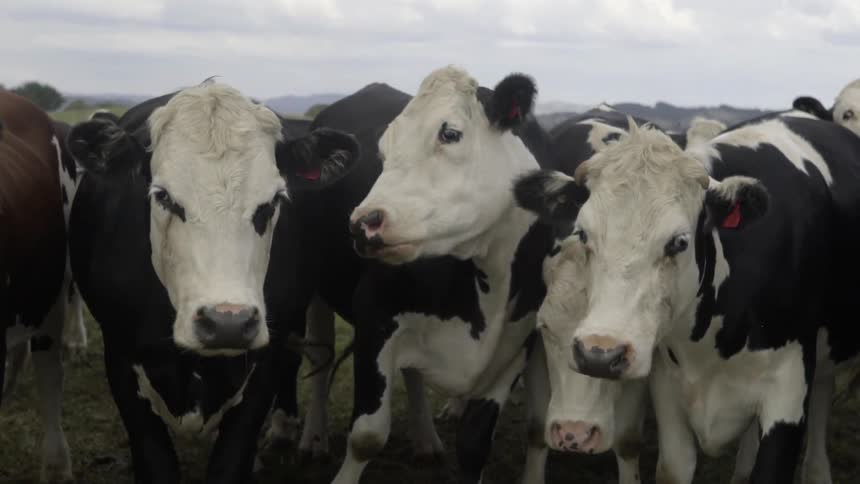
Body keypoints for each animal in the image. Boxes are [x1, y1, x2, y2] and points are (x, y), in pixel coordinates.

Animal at [65, 80, 359, 483]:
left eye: (273, 201)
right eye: (163, 197)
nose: (227, 322)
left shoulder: (262, 364)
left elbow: (231, 460)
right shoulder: (121, 358)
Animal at [514, 112, 860, 483]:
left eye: (679, 242)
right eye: (583, 234)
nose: (599, 355)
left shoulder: (789, 392)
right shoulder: (667, 390)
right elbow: (674, 466)